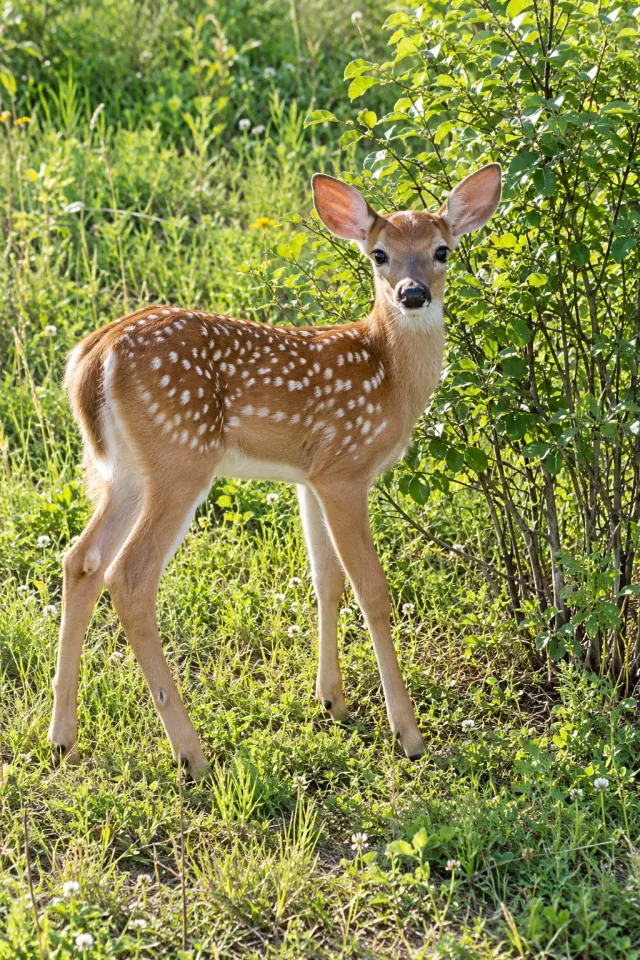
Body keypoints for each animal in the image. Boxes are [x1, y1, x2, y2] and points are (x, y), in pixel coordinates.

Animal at [47, 163, 502, 779]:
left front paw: (332, 701)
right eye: (379, 254)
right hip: (180, 458)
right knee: (130, 575)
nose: (413, 293)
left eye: (442, 250)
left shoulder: (311, 477)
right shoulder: (347, 470)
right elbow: (372, 591)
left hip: (127, 470)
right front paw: (409, 735)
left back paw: (63, 740)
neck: (389, 376)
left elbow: (326, 579)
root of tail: (93, 357)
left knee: (82, 559)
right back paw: (191, 754)